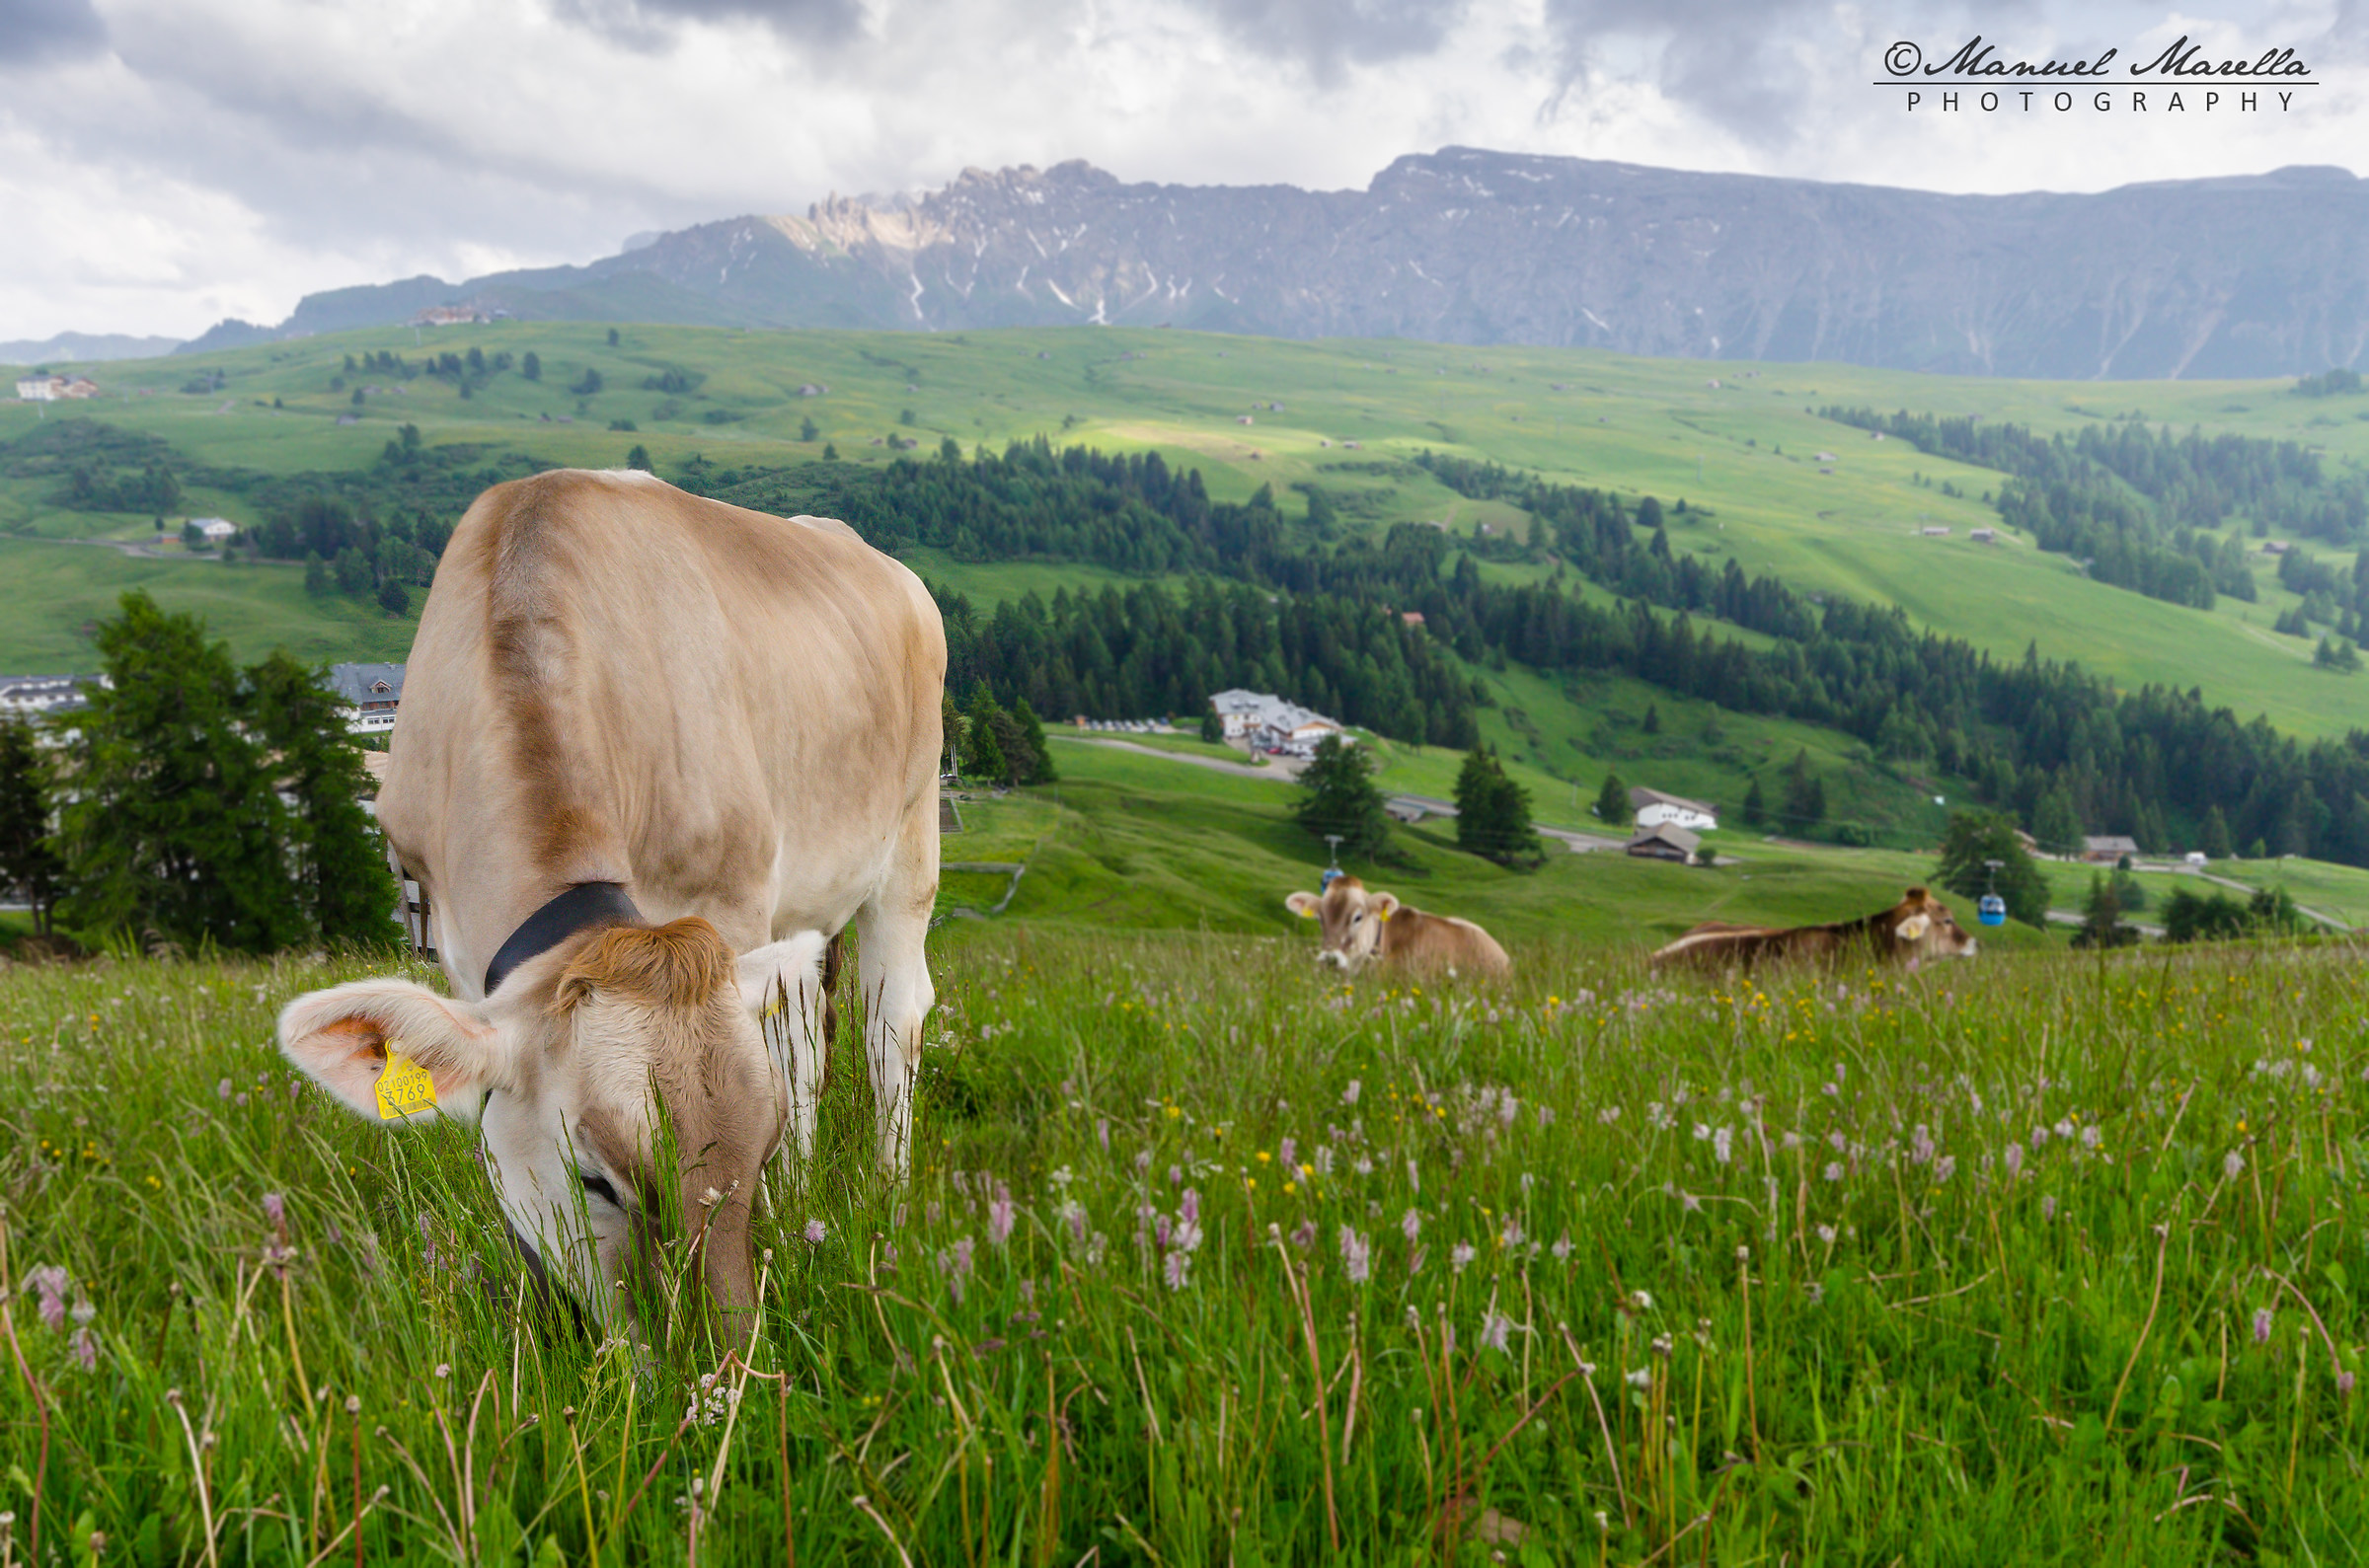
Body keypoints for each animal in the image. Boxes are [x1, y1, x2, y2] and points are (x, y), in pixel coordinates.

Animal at [278, 468, 945, 1343]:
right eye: (594, 1178)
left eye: (753, 1152)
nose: (724, 1369)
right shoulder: (464, 954)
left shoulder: (729, 899)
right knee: (802, 1040)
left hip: (910, 835)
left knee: (887, 1026)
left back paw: (889, 1201)